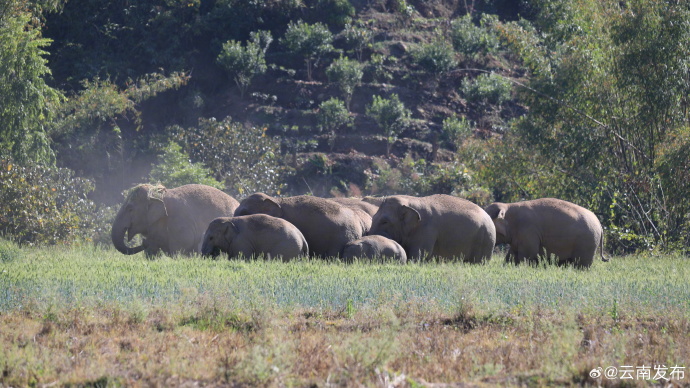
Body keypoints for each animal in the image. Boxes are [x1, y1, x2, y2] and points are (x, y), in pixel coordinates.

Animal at [366, 194, 494, 264]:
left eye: (385, 222)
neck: (409, 202)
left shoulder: (426, 230)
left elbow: (418, 256)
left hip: (485, 239)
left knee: (478, 262)